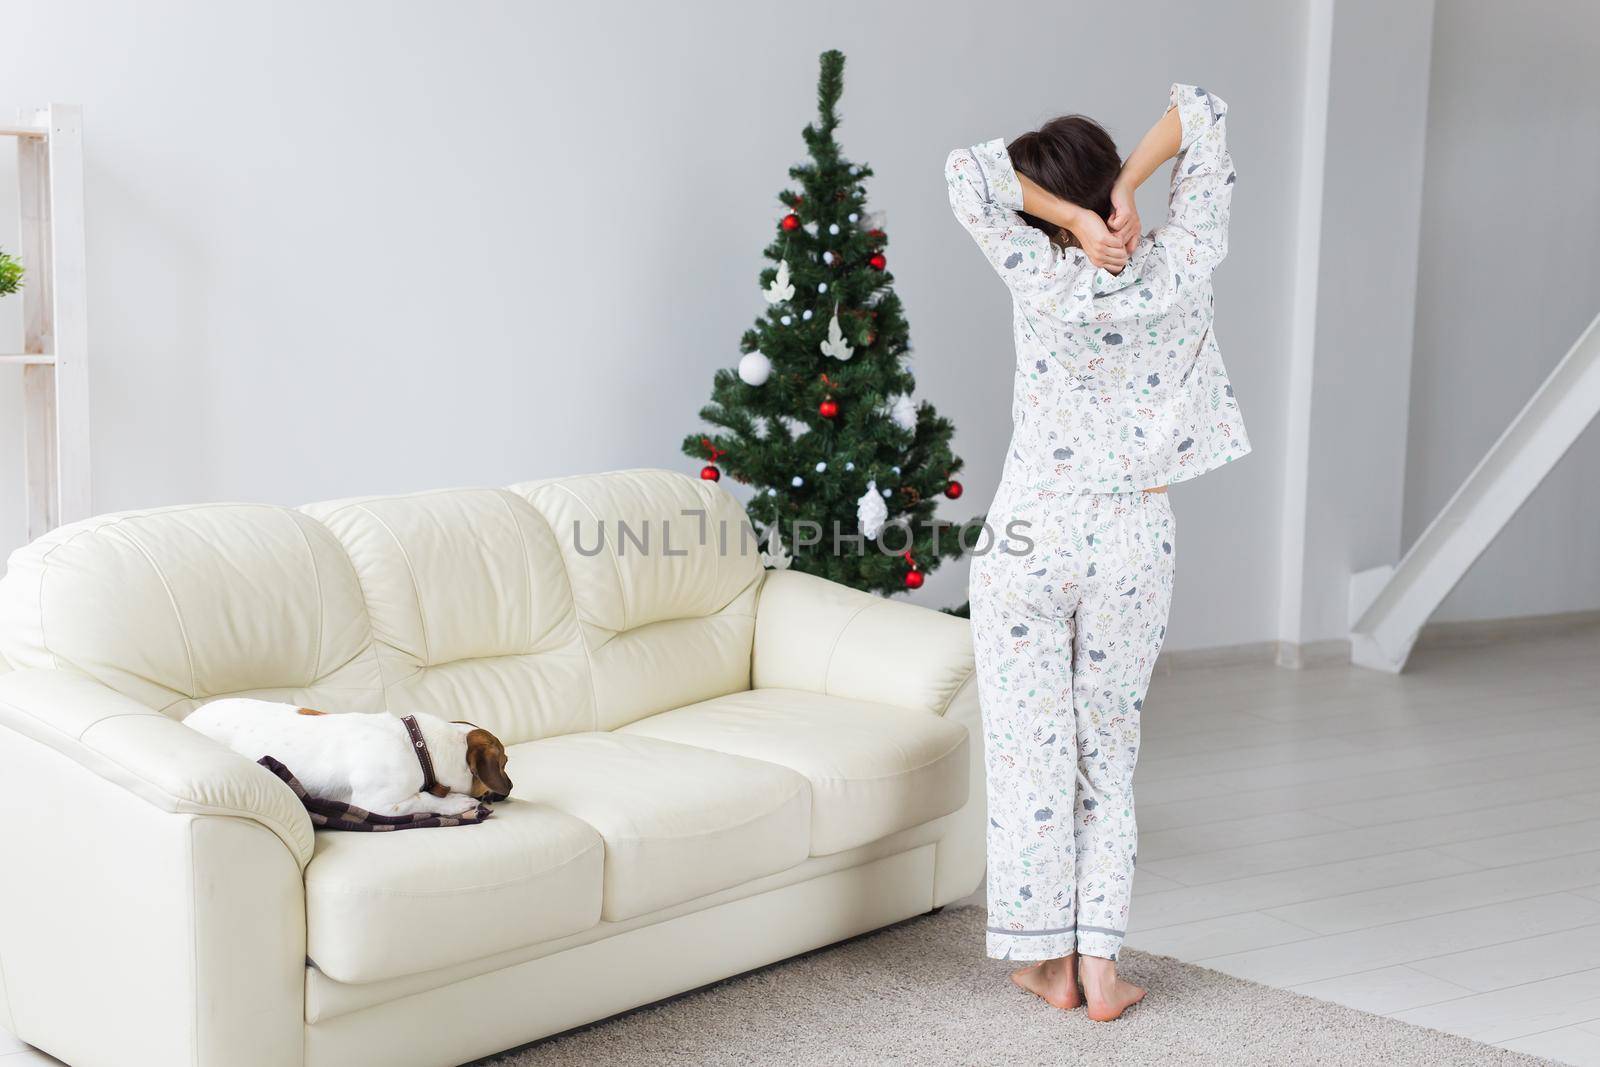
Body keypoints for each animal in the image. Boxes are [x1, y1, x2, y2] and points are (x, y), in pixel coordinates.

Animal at [186, 700, 512, 819]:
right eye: (505, 763)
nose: (511, 788)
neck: (417, 744)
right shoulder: (378, 804)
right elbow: (423, 800)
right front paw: (458, 802)